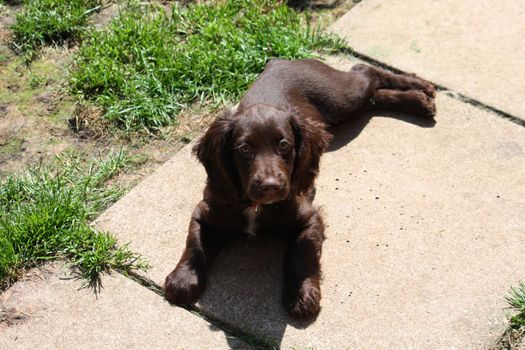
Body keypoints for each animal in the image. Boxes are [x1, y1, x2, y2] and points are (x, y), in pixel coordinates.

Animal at [164, 58, 434, 318]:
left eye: (284, 145)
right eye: (245, 149)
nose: (271, 187)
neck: (257, 207)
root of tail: (279, 60)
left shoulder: (310, 218)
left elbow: (300, 256)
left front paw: (302, 296)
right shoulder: (206, 211)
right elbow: (195, 245)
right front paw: (183, 279)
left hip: (340, 97)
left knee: (366, 72)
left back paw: (423, 89)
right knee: (373, 94)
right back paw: (421, 100)